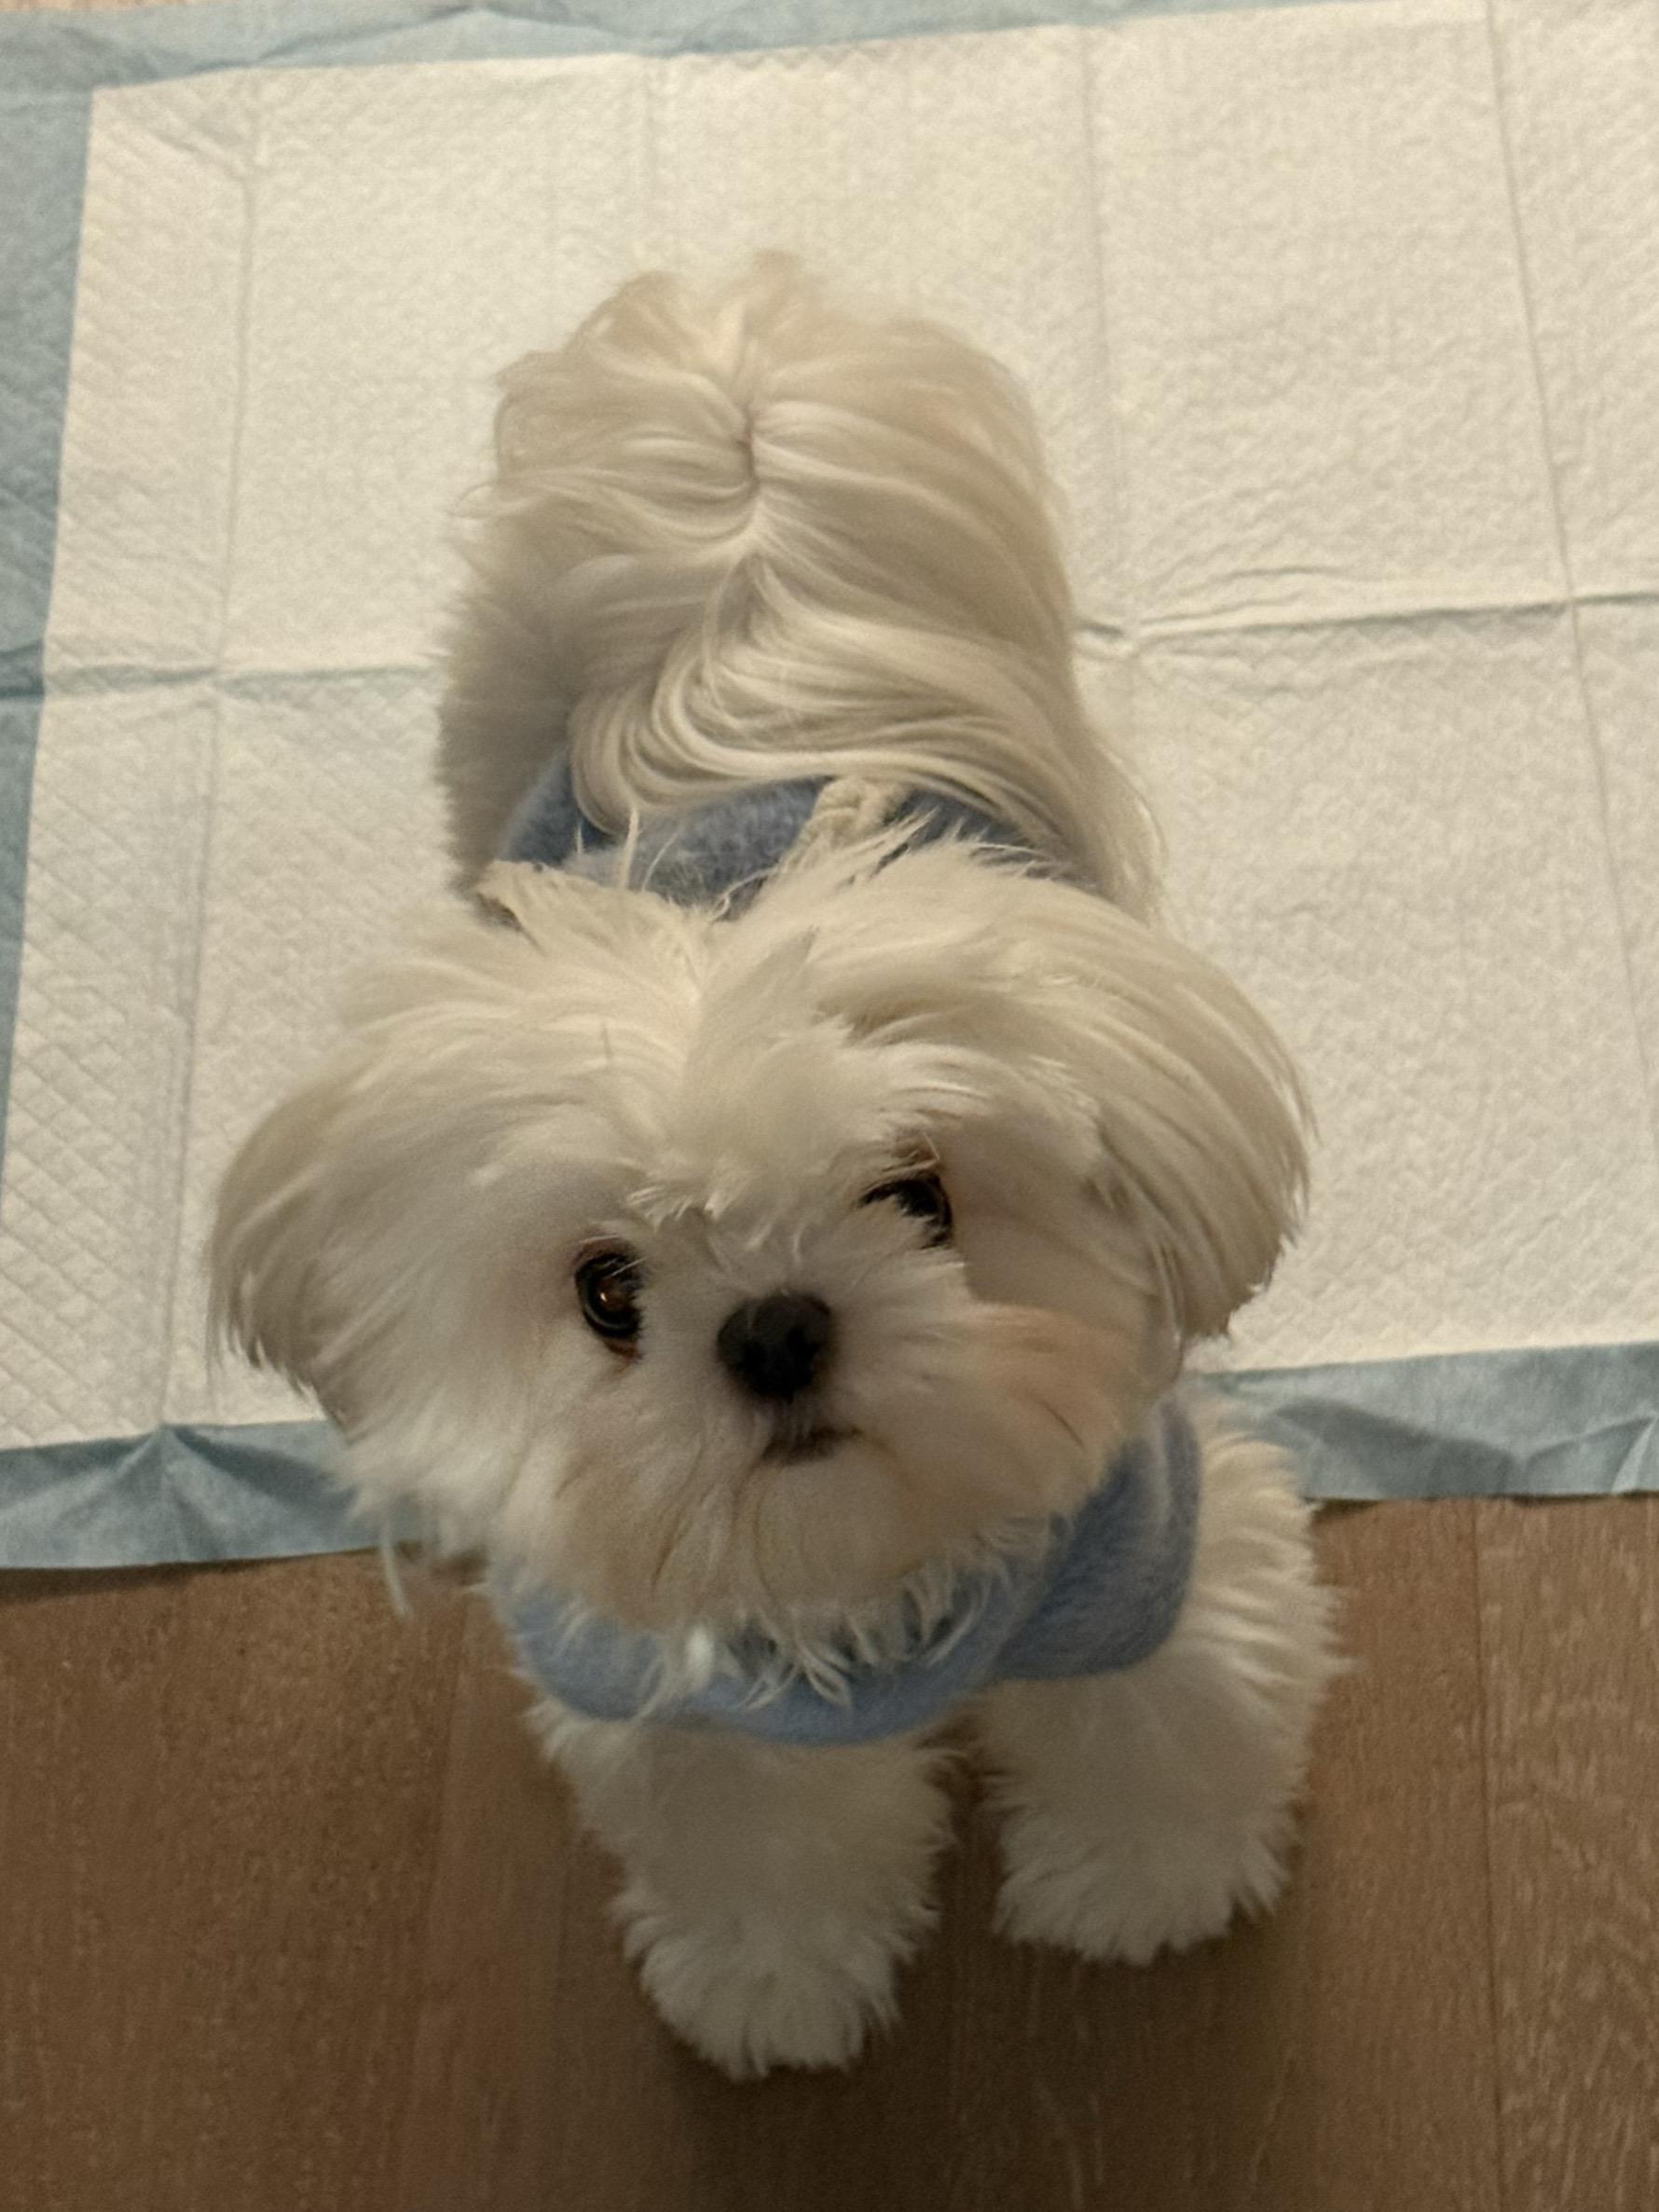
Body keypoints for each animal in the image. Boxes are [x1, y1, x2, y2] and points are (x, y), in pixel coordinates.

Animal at [210, 260, 1337, 2078]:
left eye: (922, 1194)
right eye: (608, 1289)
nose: (776, 1325)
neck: (867, 1570)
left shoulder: (1153, 1553)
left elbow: (1168, 1716)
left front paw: (1138, 1883)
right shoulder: (668, 1695)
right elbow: (754, 1832)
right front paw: (771, 1979)